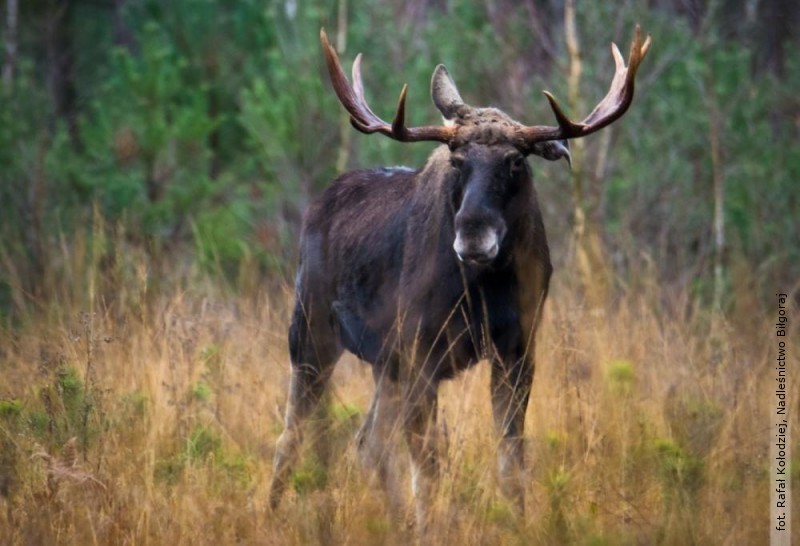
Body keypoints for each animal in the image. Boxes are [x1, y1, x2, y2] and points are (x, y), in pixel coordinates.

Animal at [268, 26, 648, 528]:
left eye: (516, 161)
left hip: (385, 364)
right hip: (311, 333)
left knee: (367, 444)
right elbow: (428, 467)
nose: (472, 235)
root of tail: (316, 207)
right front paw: (432, 528)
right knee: (290, 438)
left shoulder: (517, 350)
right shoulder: (421, 353)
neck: (483, 289)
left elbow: (510, 461)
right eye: (456, 161)